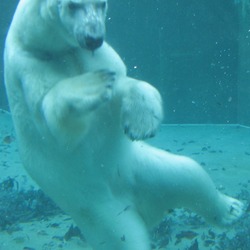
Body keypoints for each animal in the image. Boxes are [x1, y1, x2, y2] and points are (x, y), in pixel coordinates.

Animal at [4, 0, 244, 250]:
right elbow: (57, 121)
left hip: (143, 169)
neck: (42, 44)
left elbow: (124, 82)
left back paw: (231, 209)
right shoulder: (29, 67)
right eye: (72, 6)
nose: (94, 38)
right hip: (102, 213)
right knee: (125, 238)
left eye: (102, 4)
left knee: (189, 175)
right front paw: (92, 85)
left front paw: (141, 122)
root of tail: (144, 209)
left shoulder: (97, 56)